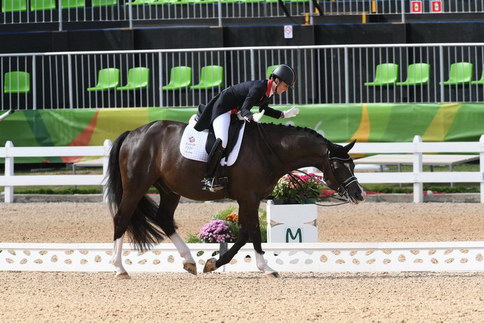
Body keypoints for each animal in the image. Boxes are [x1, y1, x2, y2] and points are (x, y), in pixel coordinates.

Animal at [105, 119, 364, 278]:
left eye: (352, 164)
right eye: (339, 167)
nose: (359, 194)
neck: (269, 150)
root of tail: (133, 134)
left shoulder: (247, 198)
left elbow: (244, 232)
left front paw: (213, 263)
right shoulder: (249, 197)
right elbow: (253, 232)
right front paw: (266, 267)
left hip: (170, 190)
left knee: (164, 218)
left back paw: (189, 261)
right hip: (136, 186)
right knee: (122, 218)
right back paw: (120, 269)